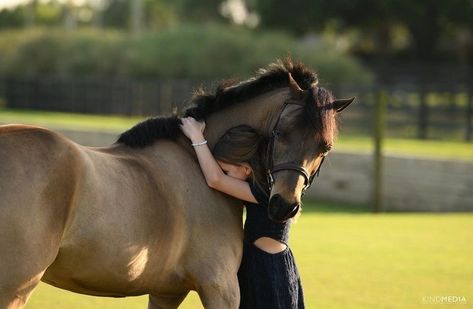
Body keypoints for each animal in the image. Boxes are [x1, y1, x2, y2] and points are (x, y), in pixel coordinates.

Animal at [0, 59, 352, 306]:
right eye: (282, 132)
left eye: (325, 147)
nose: (283, 206)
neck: (197, 161)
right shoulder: (221, 287)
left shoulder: (166, 292)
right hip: (14, 289)